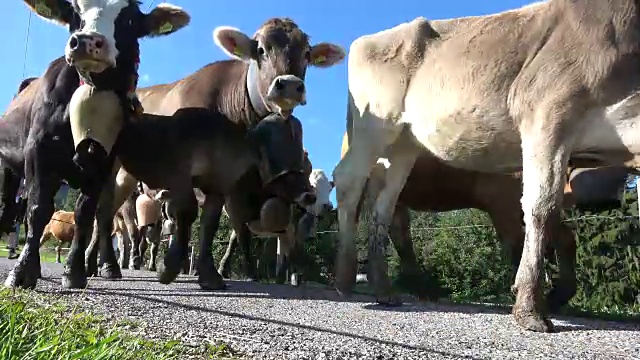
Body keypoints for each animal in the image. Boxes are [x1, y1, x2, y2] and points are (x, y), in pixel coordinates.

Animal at [332, 0, 640, 334]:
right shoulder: (548, 114)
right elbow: (541, 209)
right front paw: (530, 307)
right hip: (374, 126)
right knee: (348, 180)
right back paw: (345, 277)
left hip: (403, 144)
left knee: (384, 208)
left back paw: (384, 289)